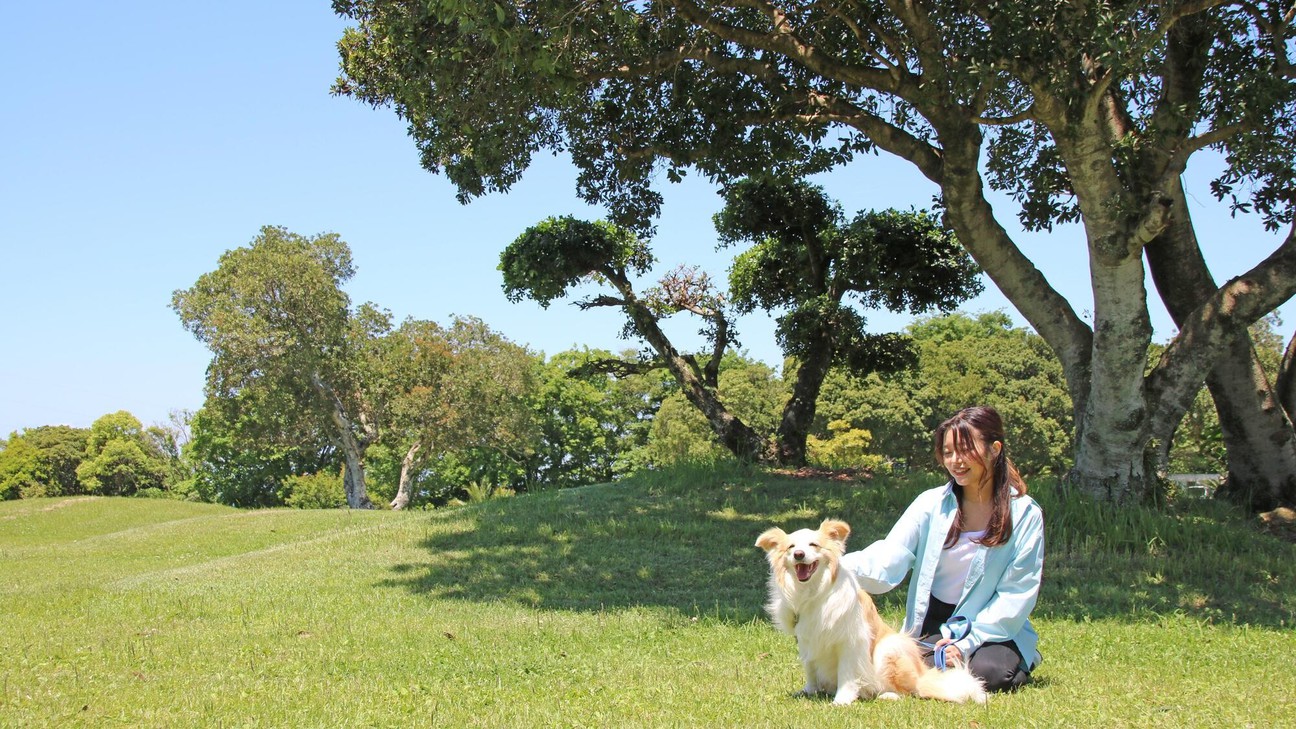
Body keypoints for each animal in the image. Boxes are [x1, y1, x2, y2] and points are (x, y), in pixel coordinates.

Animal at [756, 516, 984, 705]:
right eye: (791, 547)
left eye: (814, 545)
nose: (799, 554)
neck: (813, 594)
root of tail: (922, 675)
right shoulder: (806, 640)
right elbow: (810, 668)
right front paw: (809, 691)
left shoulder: (851, 641)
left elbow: (847, 673)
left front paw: (842, 700)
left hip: (889, 648)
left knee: (909, 691)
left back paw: (888, 695)